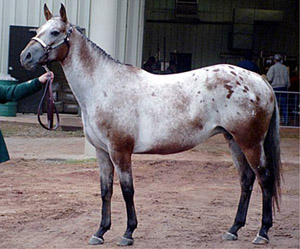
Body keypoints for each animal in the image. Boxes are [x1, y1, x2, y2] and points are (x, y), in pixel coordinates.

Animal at [20, 4, 282, 247]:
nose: (26, 57)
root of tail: (260, 80)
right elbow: (106, 191)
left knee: (264, 178)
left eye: (55, 32)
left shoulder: (120, 151)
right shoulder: (102, 152)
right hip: (233, 140)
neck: (103, 86)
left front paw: (128, 233)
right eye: (38, 30)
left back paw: (262, 232)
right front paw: (100, 232)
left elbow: (127, 190)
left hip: (250, 143)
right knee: (246, 180)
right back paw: (233, 229)